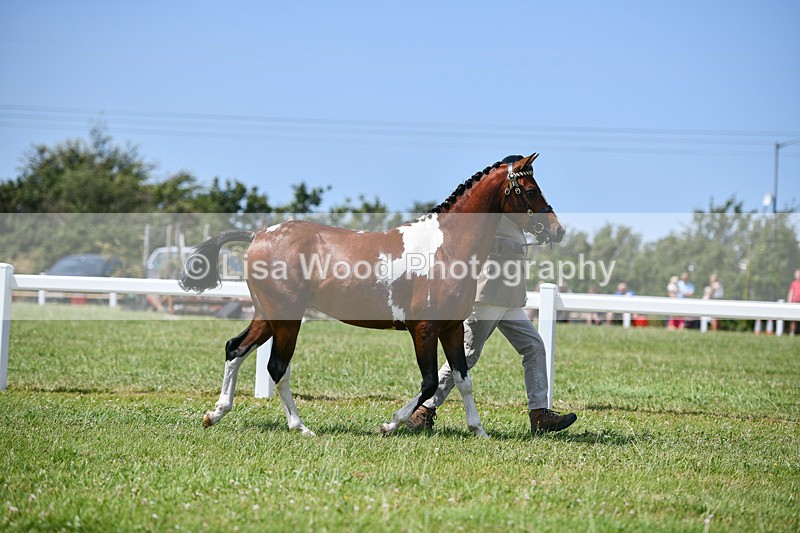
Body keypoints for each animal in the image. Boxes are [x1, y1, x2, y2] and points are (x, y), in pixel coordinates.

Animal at [180, 153, 564, 438]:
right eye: (530, 189)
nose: (557, 230)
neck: (446, 247)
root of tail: (259, 235)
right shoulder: (423, 329)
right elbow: (429, 382)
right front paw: (389, 424)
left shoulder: (453, 328)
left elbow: (462, 378)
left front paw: (478, 431)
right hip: (287, 318)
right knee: (277, 367)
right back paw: (300, 427)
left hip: (267, 315)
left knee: (236, 349)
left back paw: (216, 414)